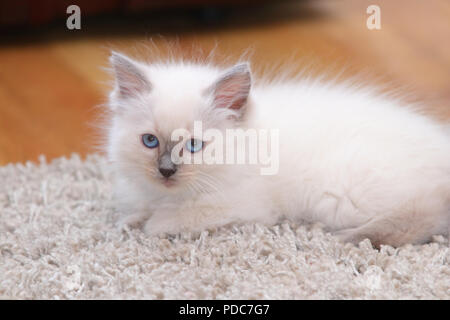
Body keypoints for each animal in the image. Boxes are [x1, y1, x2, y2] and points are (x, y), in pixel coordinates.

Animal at [103, 51, 448, 248]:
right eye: (150, 141)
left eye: (193, 145)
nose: (166, 170)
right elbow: (145, 207)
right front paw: (131, 219)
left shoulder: (241, 205)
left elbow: (175, 217)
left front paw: (150, 225)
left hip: (342, 196)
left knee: (426, 214)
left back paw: (352, 238)